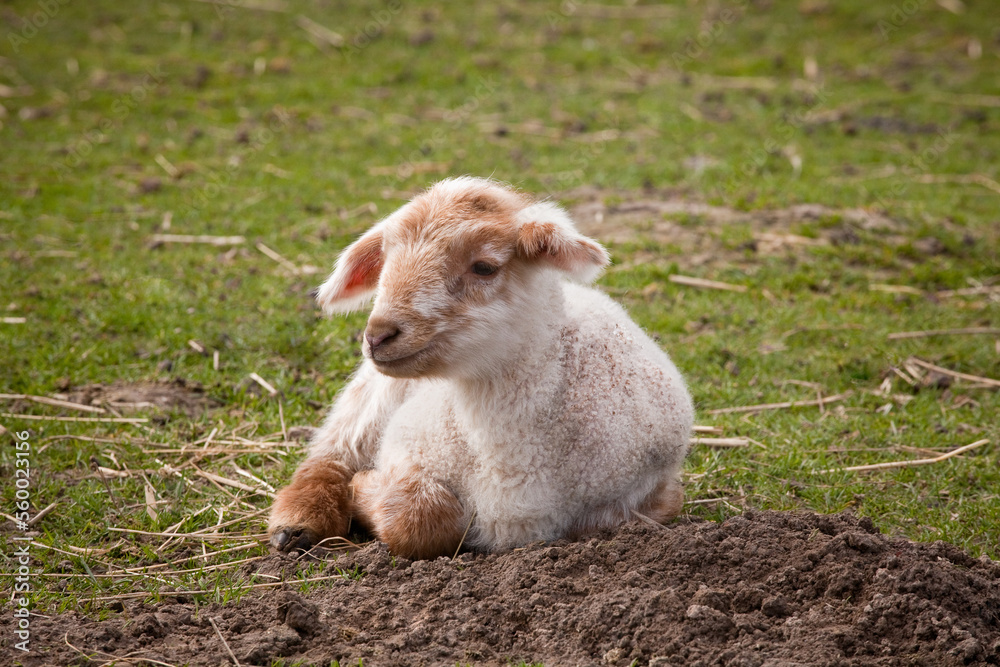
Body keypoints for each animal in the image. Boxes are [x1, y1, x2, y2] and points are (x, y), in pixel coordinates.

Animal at [268, 177, 694, 559]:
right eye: (386, 261)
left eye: (485, 267)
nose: (378, 335)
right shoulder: (404, 446)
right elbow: (420, 519)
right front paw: (364, 489)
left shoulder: (650, 496)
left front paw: (367, 490)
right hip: (374, 397)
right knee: (330, 455)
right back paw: (298, 524)